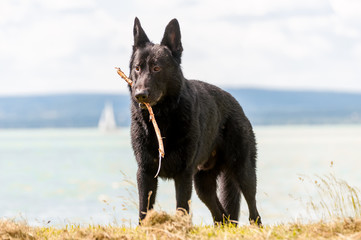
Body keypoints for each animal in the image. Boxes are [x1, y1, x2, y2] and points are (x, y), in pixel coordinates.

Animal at [128, 17, 260, 225]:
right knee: (221, 216)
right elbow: (143, 211)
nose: (140, 94)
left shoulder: (183, 175)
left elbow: (182, 209)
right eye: (137, 68)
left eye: (157, 68)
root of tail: (236, 104)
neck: (163, 119)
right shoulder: (145, 173)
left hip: (243, 172)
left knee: (253, 211)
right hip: (202, 185)